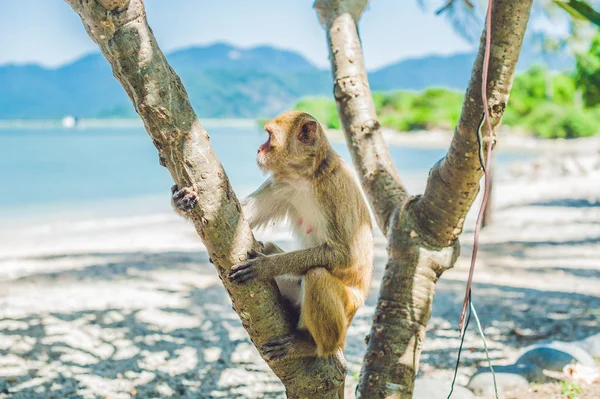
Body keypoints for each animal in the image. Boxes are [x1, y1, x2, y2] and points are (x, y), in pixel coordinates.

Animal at [171, 111, 372, 360]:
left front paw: (266, 266)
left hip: (348, 308)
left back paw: (313, 346)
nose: (259, 149)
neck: (305, 176)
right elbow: (238, 215)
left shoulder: (334, 188)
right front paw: (180, 201)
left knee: (316, 276)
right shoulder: (281, 185)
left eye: (269, 137)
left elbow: (345, 255)